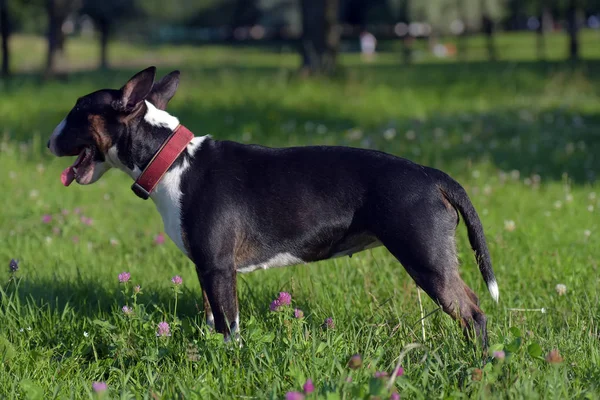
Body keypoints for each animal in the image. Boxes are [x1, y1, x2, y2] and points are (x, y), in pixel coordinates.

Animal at [45, 65, 496, 346]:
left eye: (77, 111)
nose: (48, 141)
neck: (172, 160)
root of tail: (432, 175)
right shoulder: (207, 267)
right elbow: (213, 317)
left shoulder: (218, 267)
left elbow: (230, 326)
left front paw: (229, 360)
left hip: (426, 259)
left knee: (472, 312)